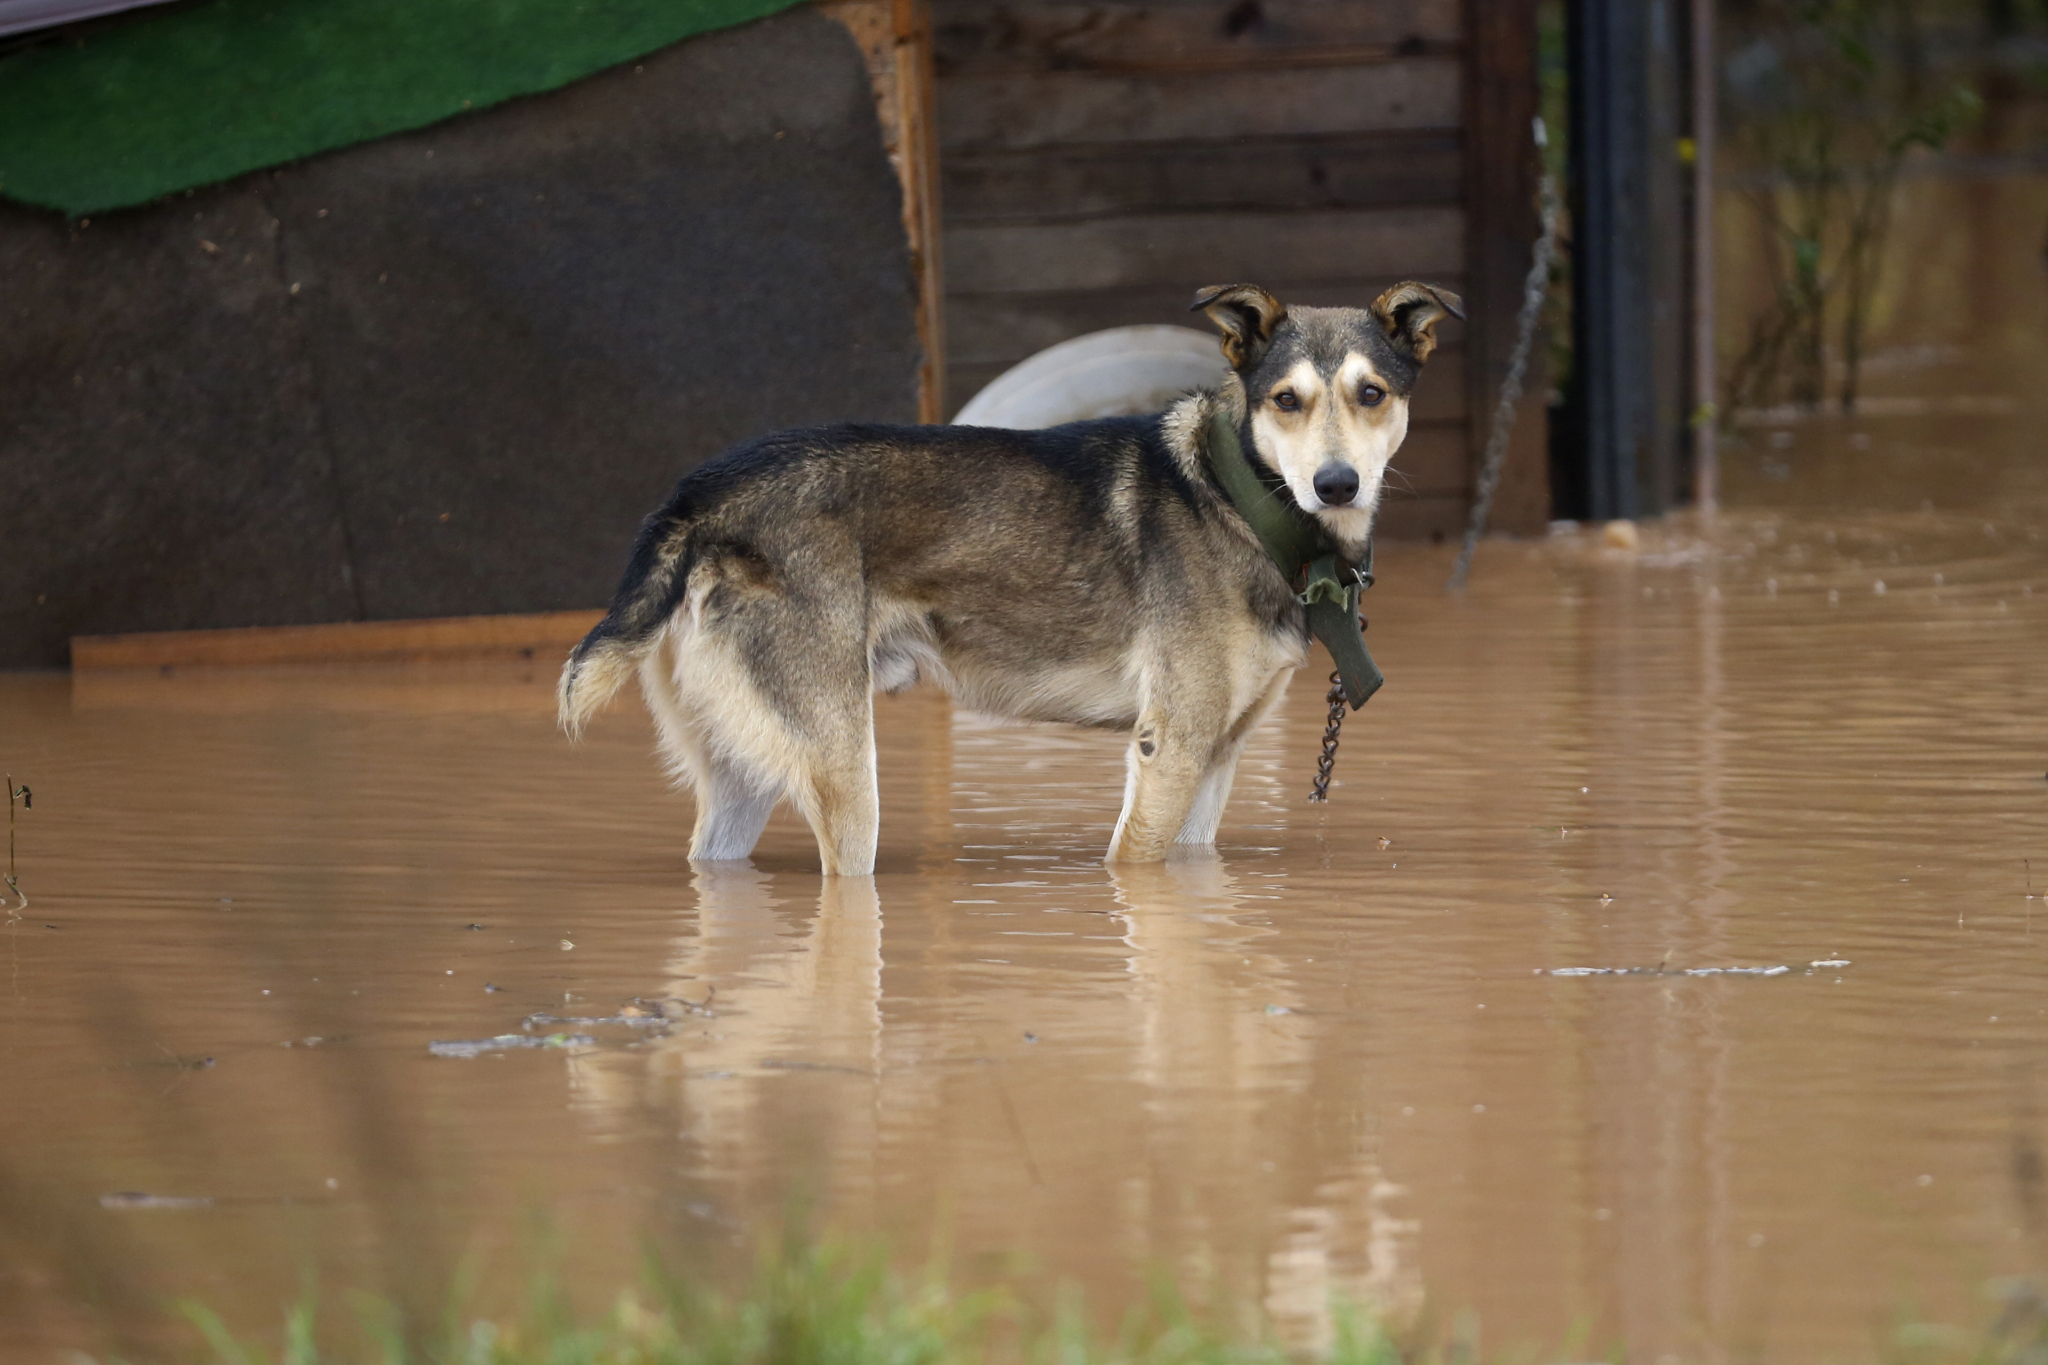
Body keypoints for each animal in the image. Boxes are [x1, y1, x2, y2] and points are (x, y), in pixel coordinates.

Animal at [557, 280, 1458, 875]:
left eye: (1371, 393)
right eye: (1286, 401)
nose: (1336, 484)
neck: (1237, 496)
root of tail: (701, 493)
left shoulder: (1220, 755)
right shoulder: (1169, 749)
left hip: (741, 774)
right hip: (846, 778)